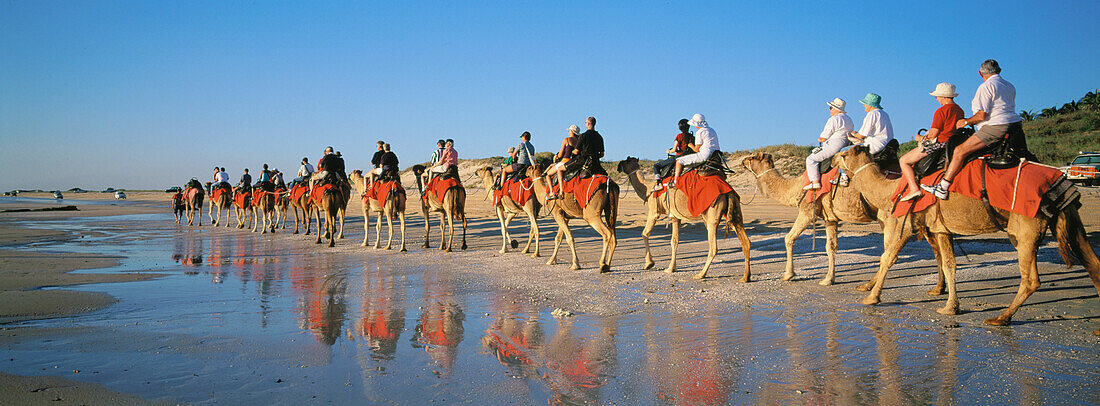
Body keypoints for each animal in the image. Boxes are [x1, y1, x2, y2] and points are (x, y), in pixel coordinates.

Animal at [616, 156, 752, 279]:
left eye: (626, 160)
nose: (619, 165)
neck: (648, 188)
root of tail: (728, 191)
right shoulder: (675, 217)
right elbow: (674, 240)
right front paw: (671, 268)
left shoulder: (654, 211)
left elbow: (645, 233)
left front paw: (649, 263)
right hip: (734, 212)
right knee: (745, 241)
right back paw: (746, 277)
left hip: (711, 215)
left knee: (713, 247)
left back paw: (701, 274)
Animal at [739, 151, 946, 288]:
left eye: (752, 157)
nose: (741, 161)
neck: (796, 187)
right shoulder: (831, 218)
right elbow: (830, 247)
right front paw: (828, 279)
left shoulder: (807, 210)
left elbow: (789, 238)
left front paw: (788, 275)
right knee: (934, 249)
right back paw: (938, 289)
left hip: (892, 217)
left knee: (891, 251)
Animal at [831, 143, 1100, 325]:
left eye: (844, 154)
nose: (832, 160)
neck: (890, 190)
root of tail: (1061, 180)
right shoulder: (941, 228)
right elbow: (949, 263)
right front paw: (951, 306)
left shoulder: (903, 223)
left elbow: (887, 256)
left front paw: (871, 297)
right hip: (1070, 219)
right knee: (1091, 261)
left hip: (1025, 227)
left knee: (1031, 278)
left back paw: (1000, 318)